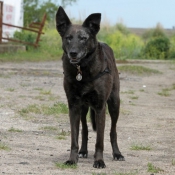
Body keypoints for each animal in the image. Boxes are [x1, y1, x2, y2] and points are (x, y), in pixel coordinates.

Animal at [56, 6, 124, 168]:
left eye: (83, 38)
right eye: (68, 38)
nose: (73, 53)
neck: (82, 69)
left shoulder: (100, 107)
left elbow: (100, 140)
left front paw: (99, 161)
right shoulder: (74, 106)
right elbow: (74, 137)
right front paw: (72, 159)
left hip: (114, 103)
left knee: (112, 131)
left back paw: (117, 153)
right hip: (83, 108)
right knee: (85, 130)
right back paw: (83, 151)